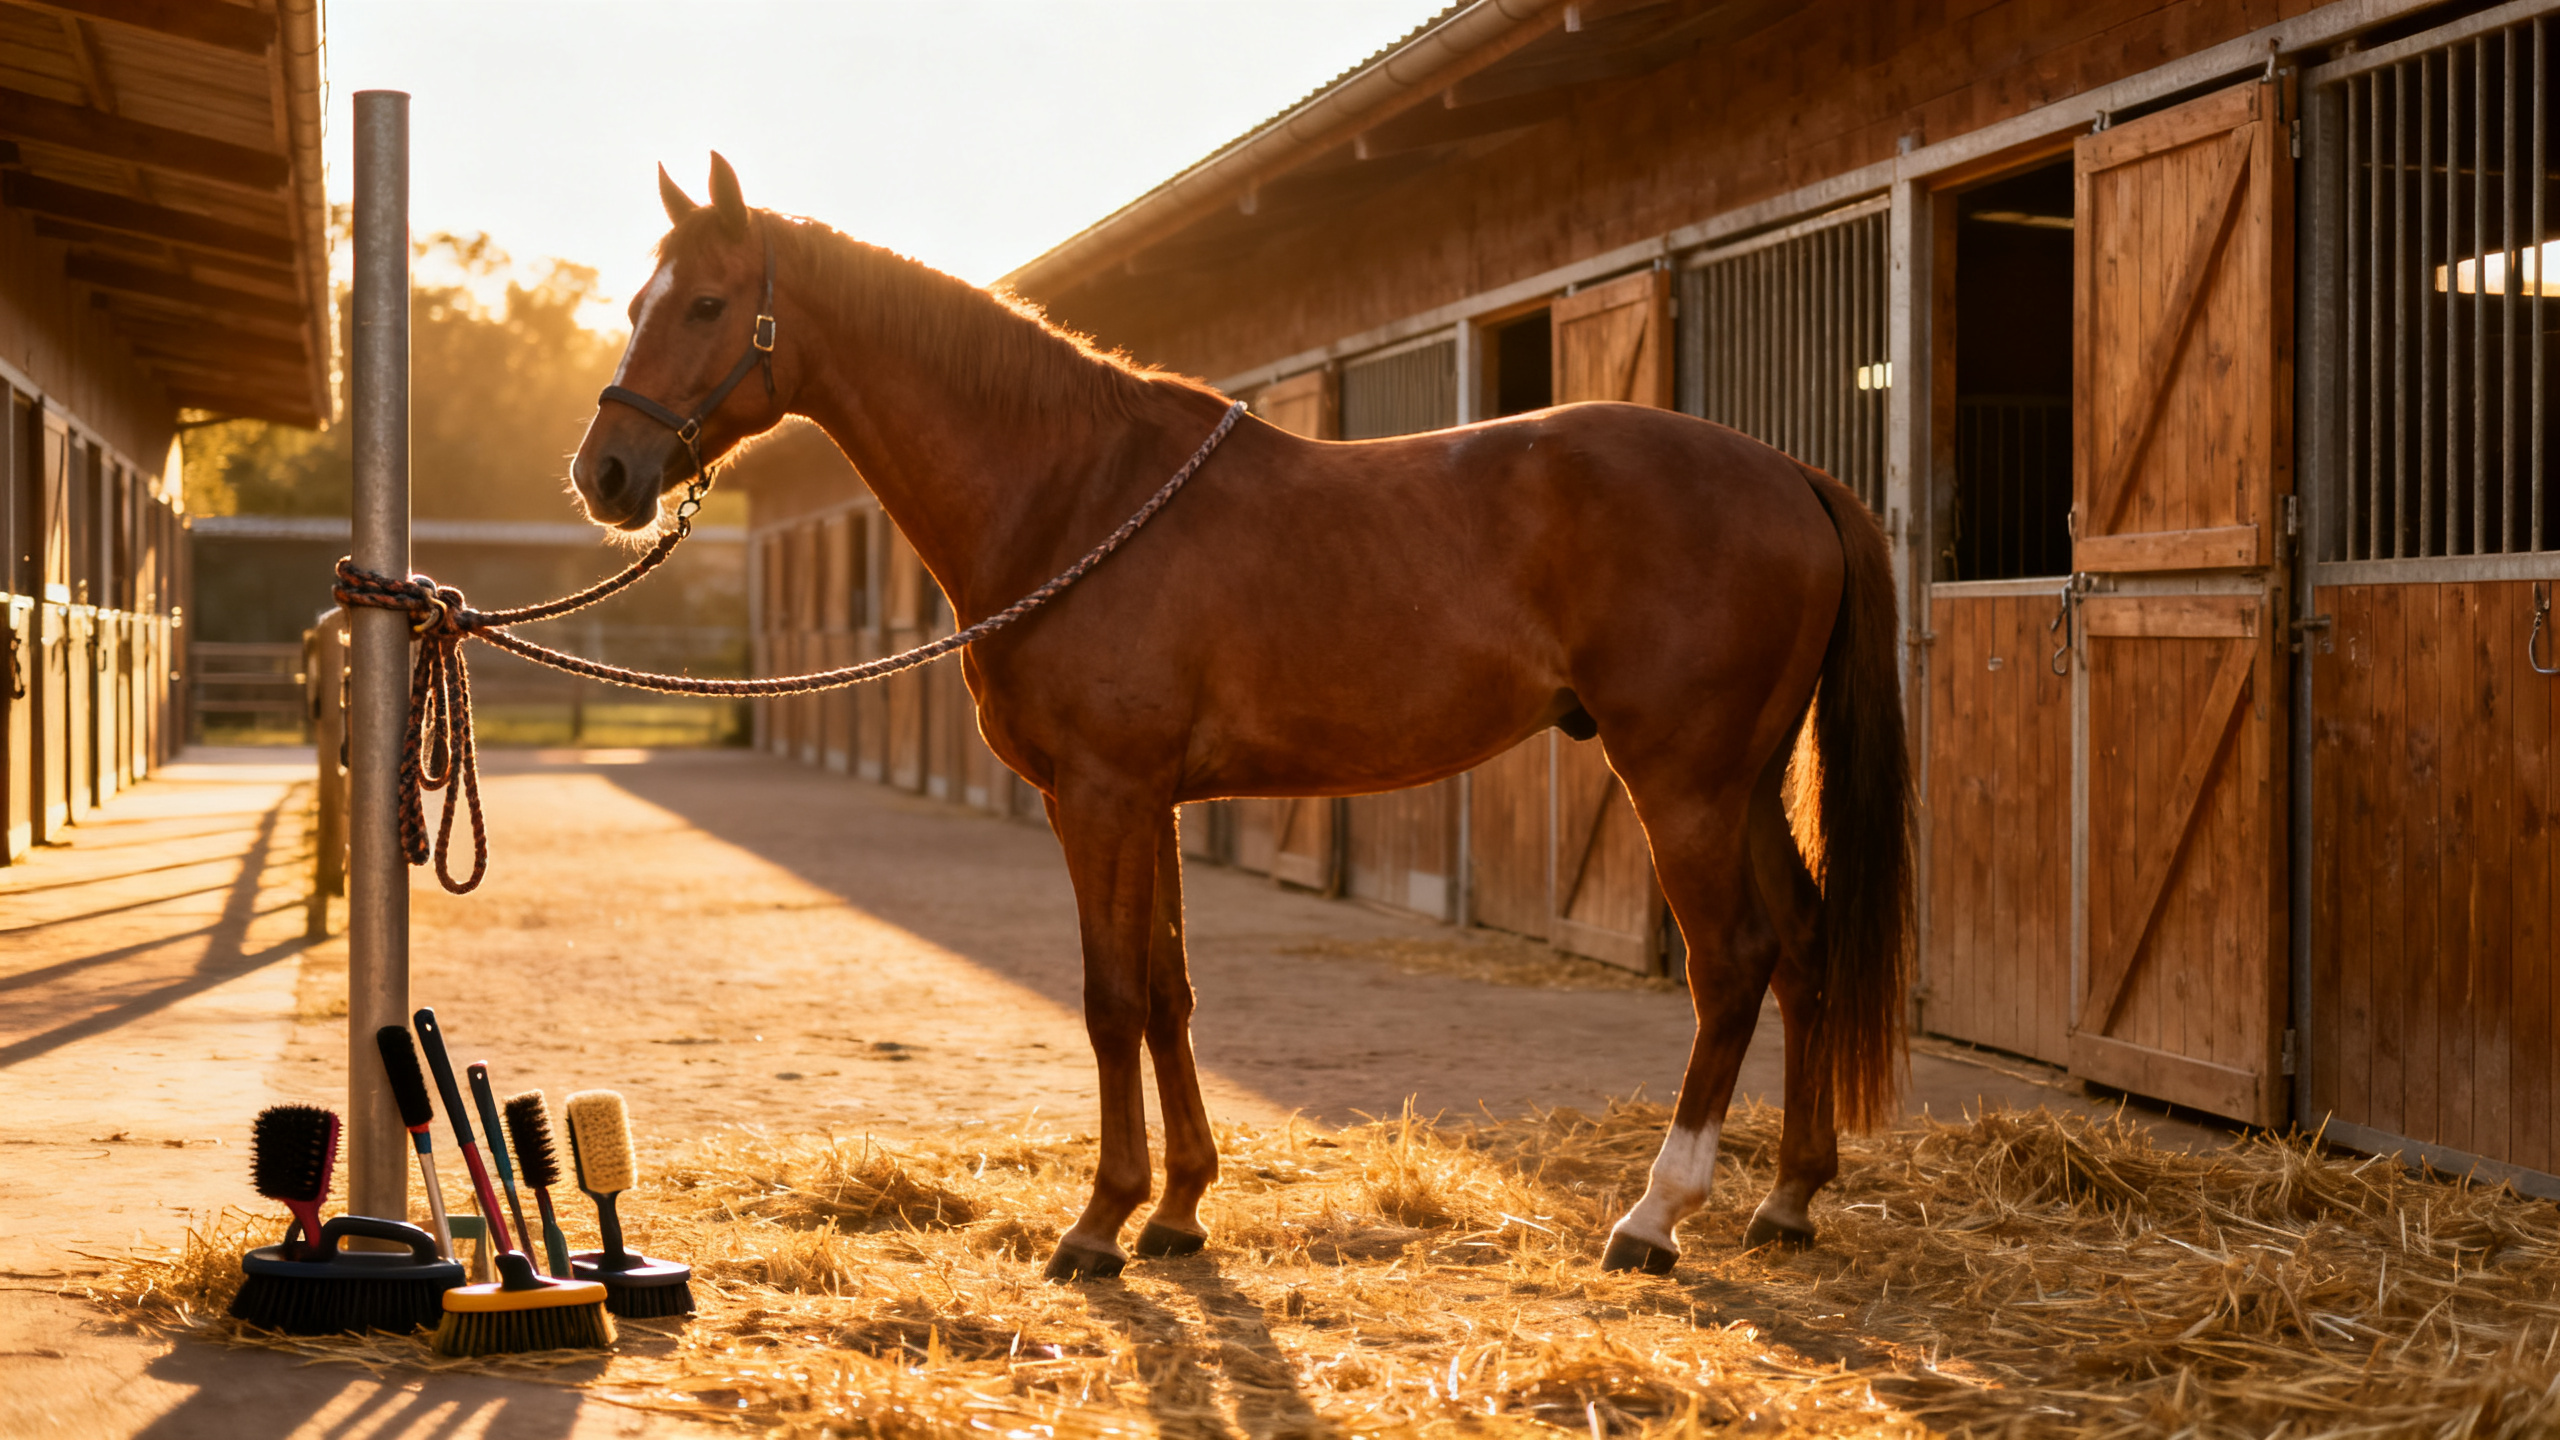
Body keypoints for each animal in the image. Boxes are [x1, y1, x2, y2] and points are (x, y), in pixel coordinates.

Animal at [571, 155, 1912, 1281]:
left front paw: (1098, 1225)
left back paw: (1652, 1217)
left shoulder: (1099, 795)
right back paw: (1787, 1200)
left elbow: (1111, 999)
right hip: (1740, 781)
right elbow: (1168, 992)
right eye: (640, 298)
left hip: (1679, 781)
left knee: (1731, 965)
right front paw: (1177, 1211)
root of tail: (1792, 475)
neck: (1075, 494)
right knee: (1802, 946)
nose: (605, 476)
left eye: (704, 304)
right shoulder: (1148, 800)